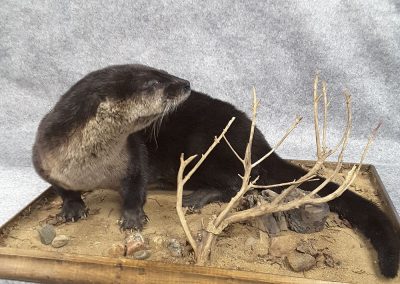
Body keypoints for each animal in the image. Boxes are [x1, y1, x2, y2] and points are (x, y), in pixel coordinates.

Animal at [32, 63, 400, 278]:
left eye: (163, 71)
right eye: (155, 82)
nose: (184, 81)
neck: (91, 165)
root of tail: (258, 140)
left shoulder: (134, 156)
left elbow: (136, 185)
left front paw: (133, 216)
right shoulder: (44, 159)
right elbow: (61, 188)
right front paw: (72, 206)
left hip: (207, 152)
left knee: (242, 183)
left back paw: (197, 196)